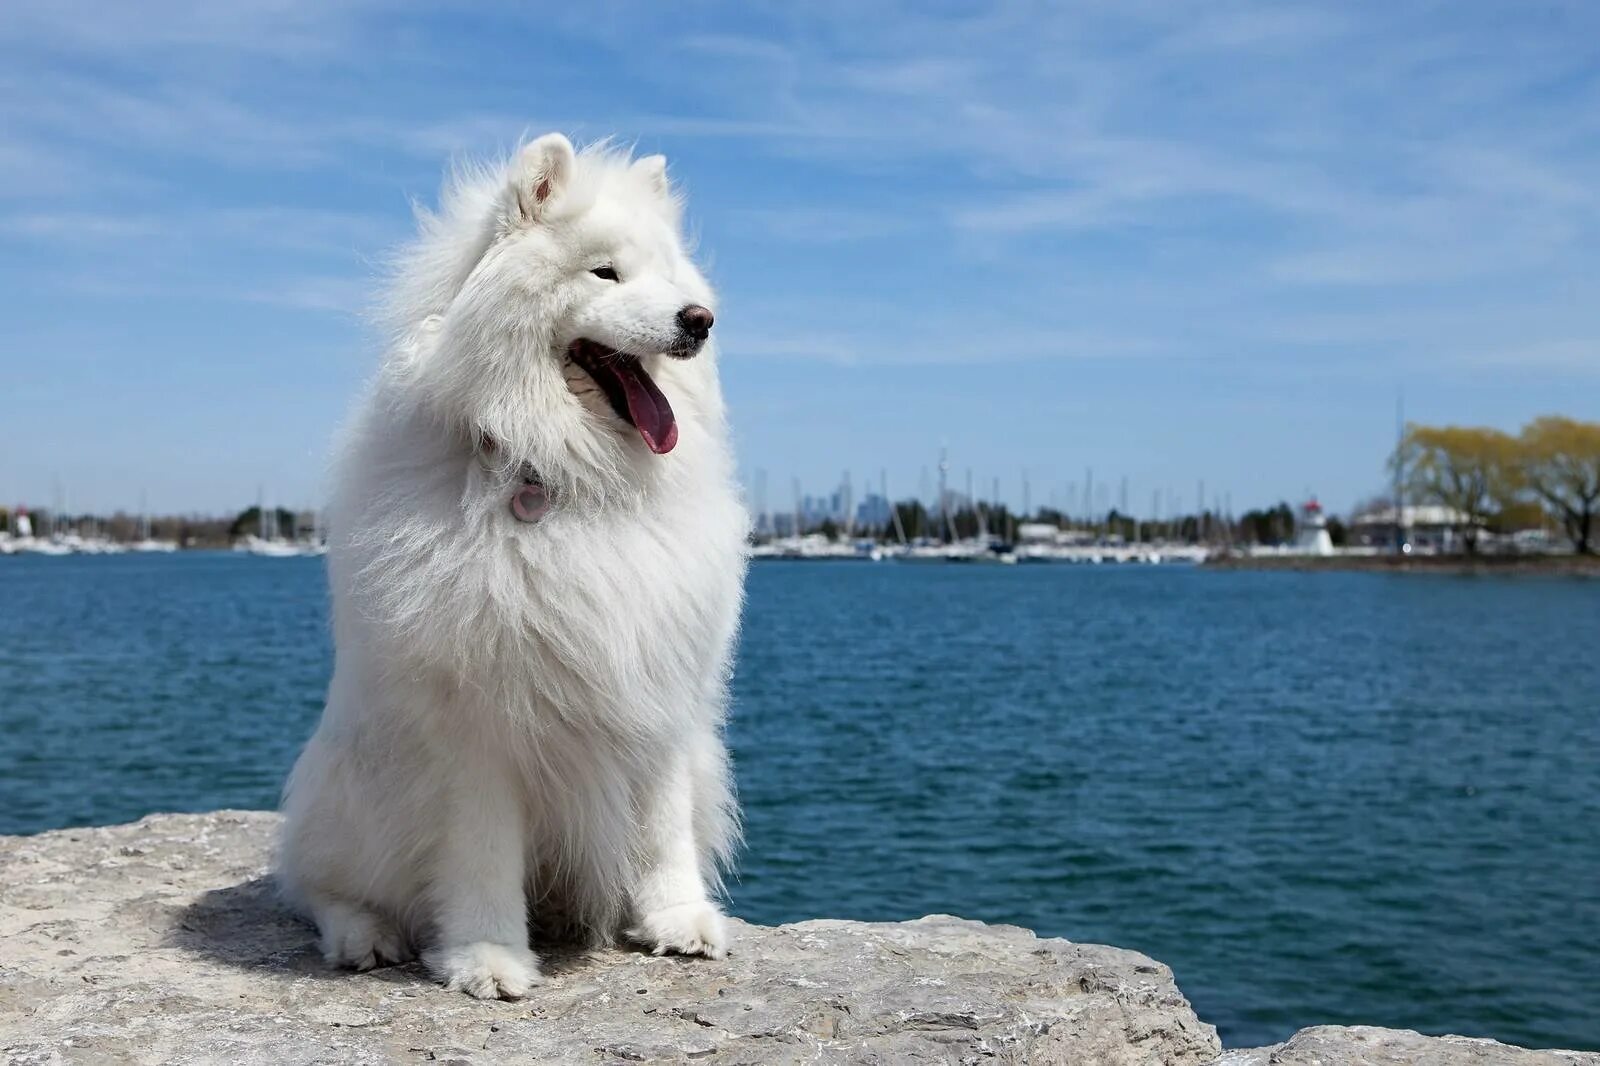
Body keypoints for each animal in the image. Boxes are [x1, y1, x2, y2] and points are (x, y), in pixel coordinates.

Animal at [276, 132, 748, 998]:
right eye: (605, 273)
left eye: (670, 277)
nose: (699, 320)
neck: (563, 474)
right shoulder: (476, 727)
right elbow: (481, 854)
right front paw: (488, 957)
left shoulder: (660, 690)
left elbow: (661, 826)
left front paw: (675, 918)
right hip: (351, 795)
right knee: (315, 885)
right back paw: (363, 935)